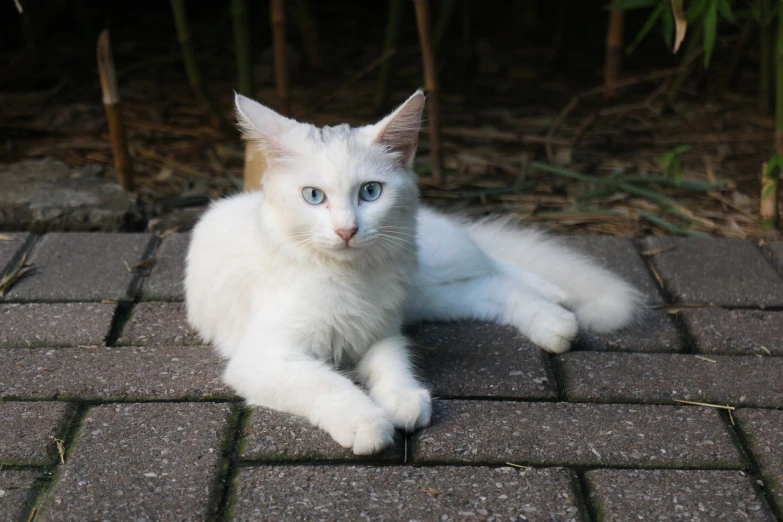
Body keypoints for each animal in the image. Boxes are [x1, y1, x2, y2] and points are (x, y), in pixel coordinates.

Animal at [185, 91, 644, 452]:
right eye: (313, 196)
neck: (350, 276)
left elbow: (393, 365)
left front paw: (400, 401)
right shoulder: (267, 357)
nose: (347, 230)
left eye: (370, 192)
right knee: (492, 286)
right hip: (430, 297)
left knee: (494, 264)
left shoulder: (381, 332)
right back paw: (554, 320)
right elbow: (327, 383)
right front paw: (369, 419)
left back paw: (558, 303)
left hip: (434, 271)